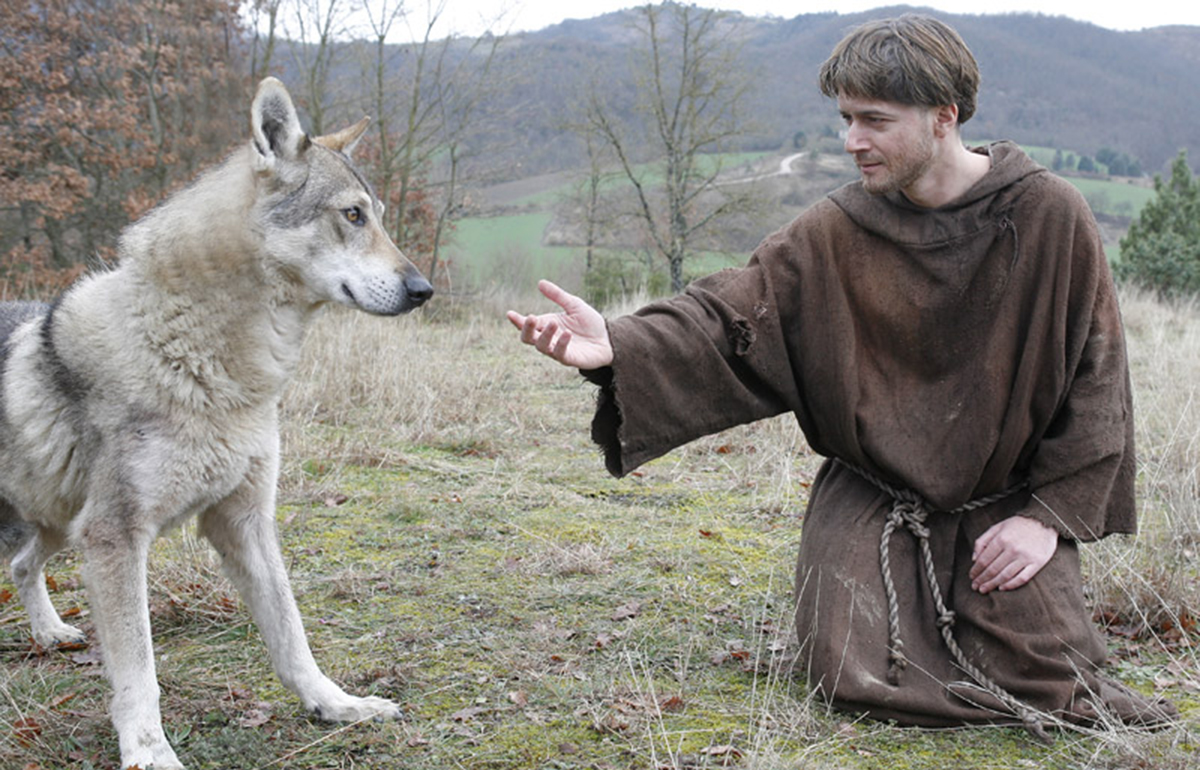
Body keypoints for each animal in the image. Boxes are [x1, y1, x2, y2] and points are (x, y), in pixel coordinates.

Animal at [0, 79, 432, 767]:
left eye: (381, 216)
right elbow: (139, 670)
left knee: (20, 564)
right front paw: (149, 753)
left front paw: (336, 706)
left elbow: (291, 634)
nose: (424, 289)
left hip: (58, 522)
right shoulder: (116, 538)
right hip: (67, 526)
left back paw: (48, 633)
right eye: (353, 215)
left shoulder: (243, 522)